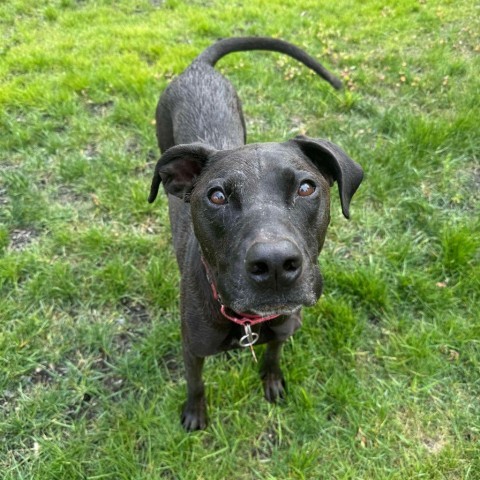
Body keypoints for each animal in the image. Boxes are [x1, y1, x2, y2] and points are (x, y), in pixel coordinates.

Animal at [148, 35, 362, 430]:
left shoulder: (284, 328)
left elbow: (273, 355)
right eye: (217, 196)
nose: (276, 264)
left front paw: (272, 380)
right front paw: (195, 413)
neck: (248, 322)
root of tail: (198, 67)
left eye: (306, 188)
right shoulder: (191, 348)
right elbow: (196, 382)